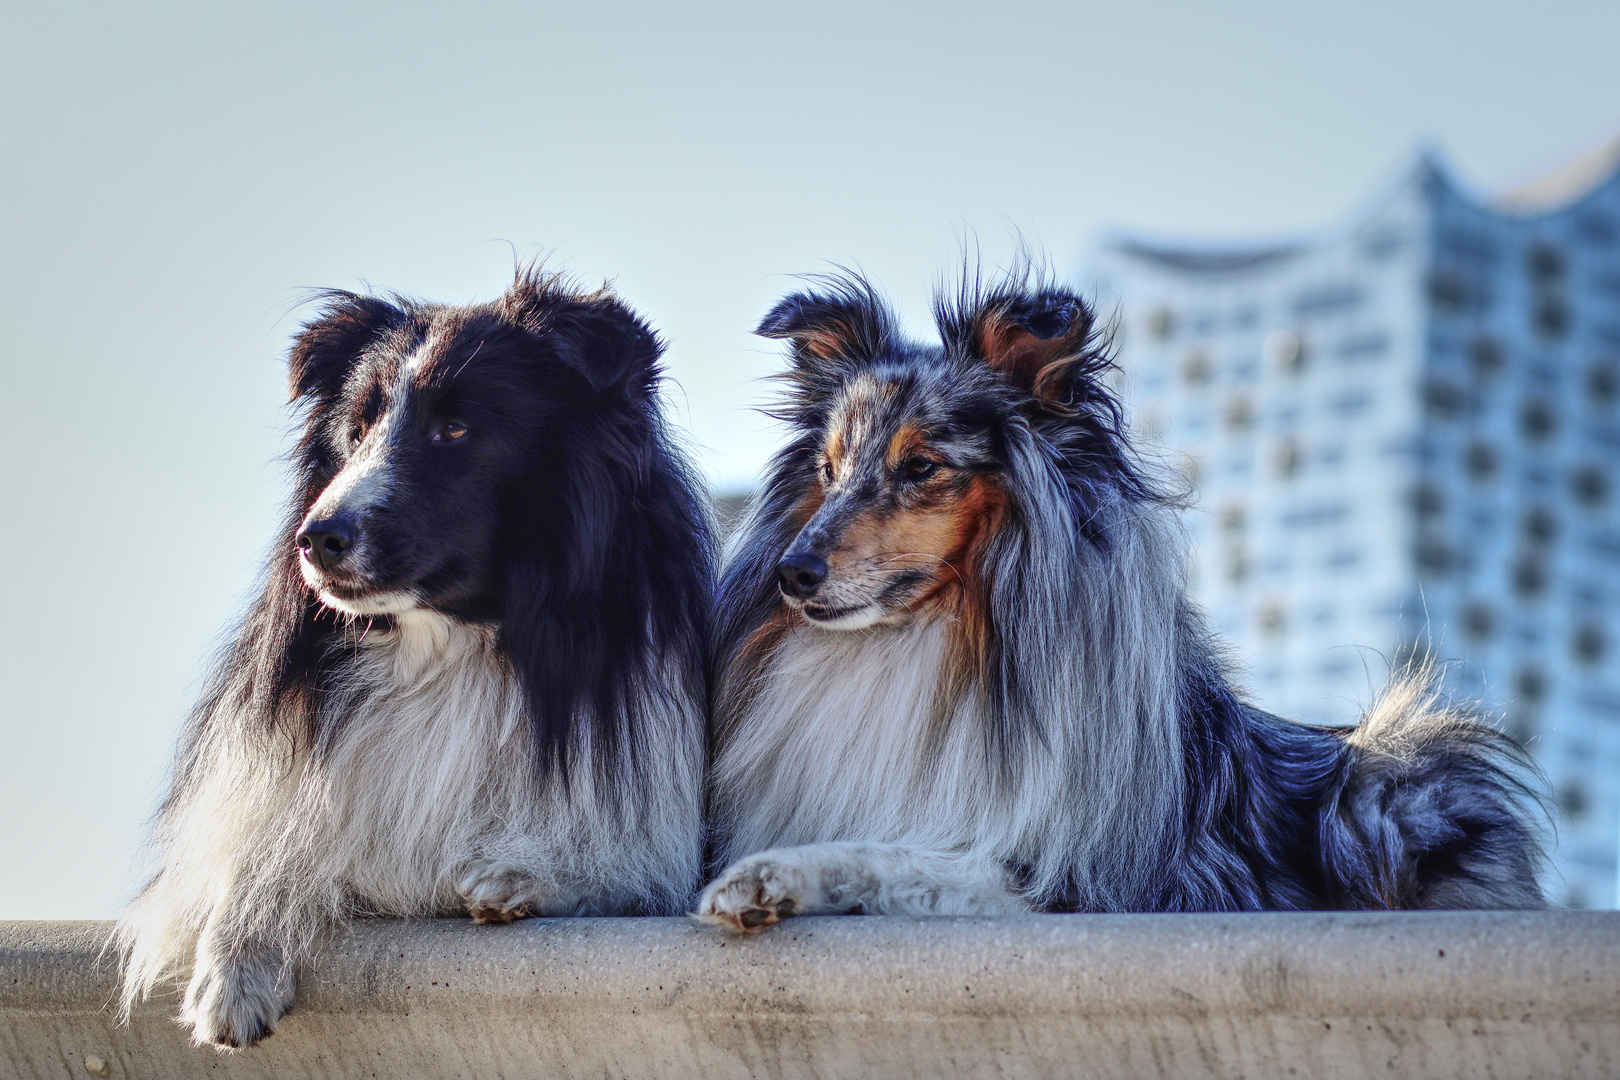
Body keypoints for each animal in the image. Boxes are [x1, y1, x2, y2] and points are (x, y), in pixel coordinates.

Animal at [117, 268, 712, 1049]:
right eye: (357, 430)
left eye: (454, 429)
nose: (316, 539)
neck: (450, 642)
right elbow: (271, 849)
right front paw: (230, 975)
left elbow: (626, 871)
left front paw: (524, 873)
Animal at [693, 270, 1542, 932]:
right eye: (830, 471)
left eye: (922, 467)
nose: (792, 573)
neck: (931, 640)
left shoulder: (1070, 880)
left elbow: (899, 856)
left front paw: (766, 877)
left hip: (1390, 793)